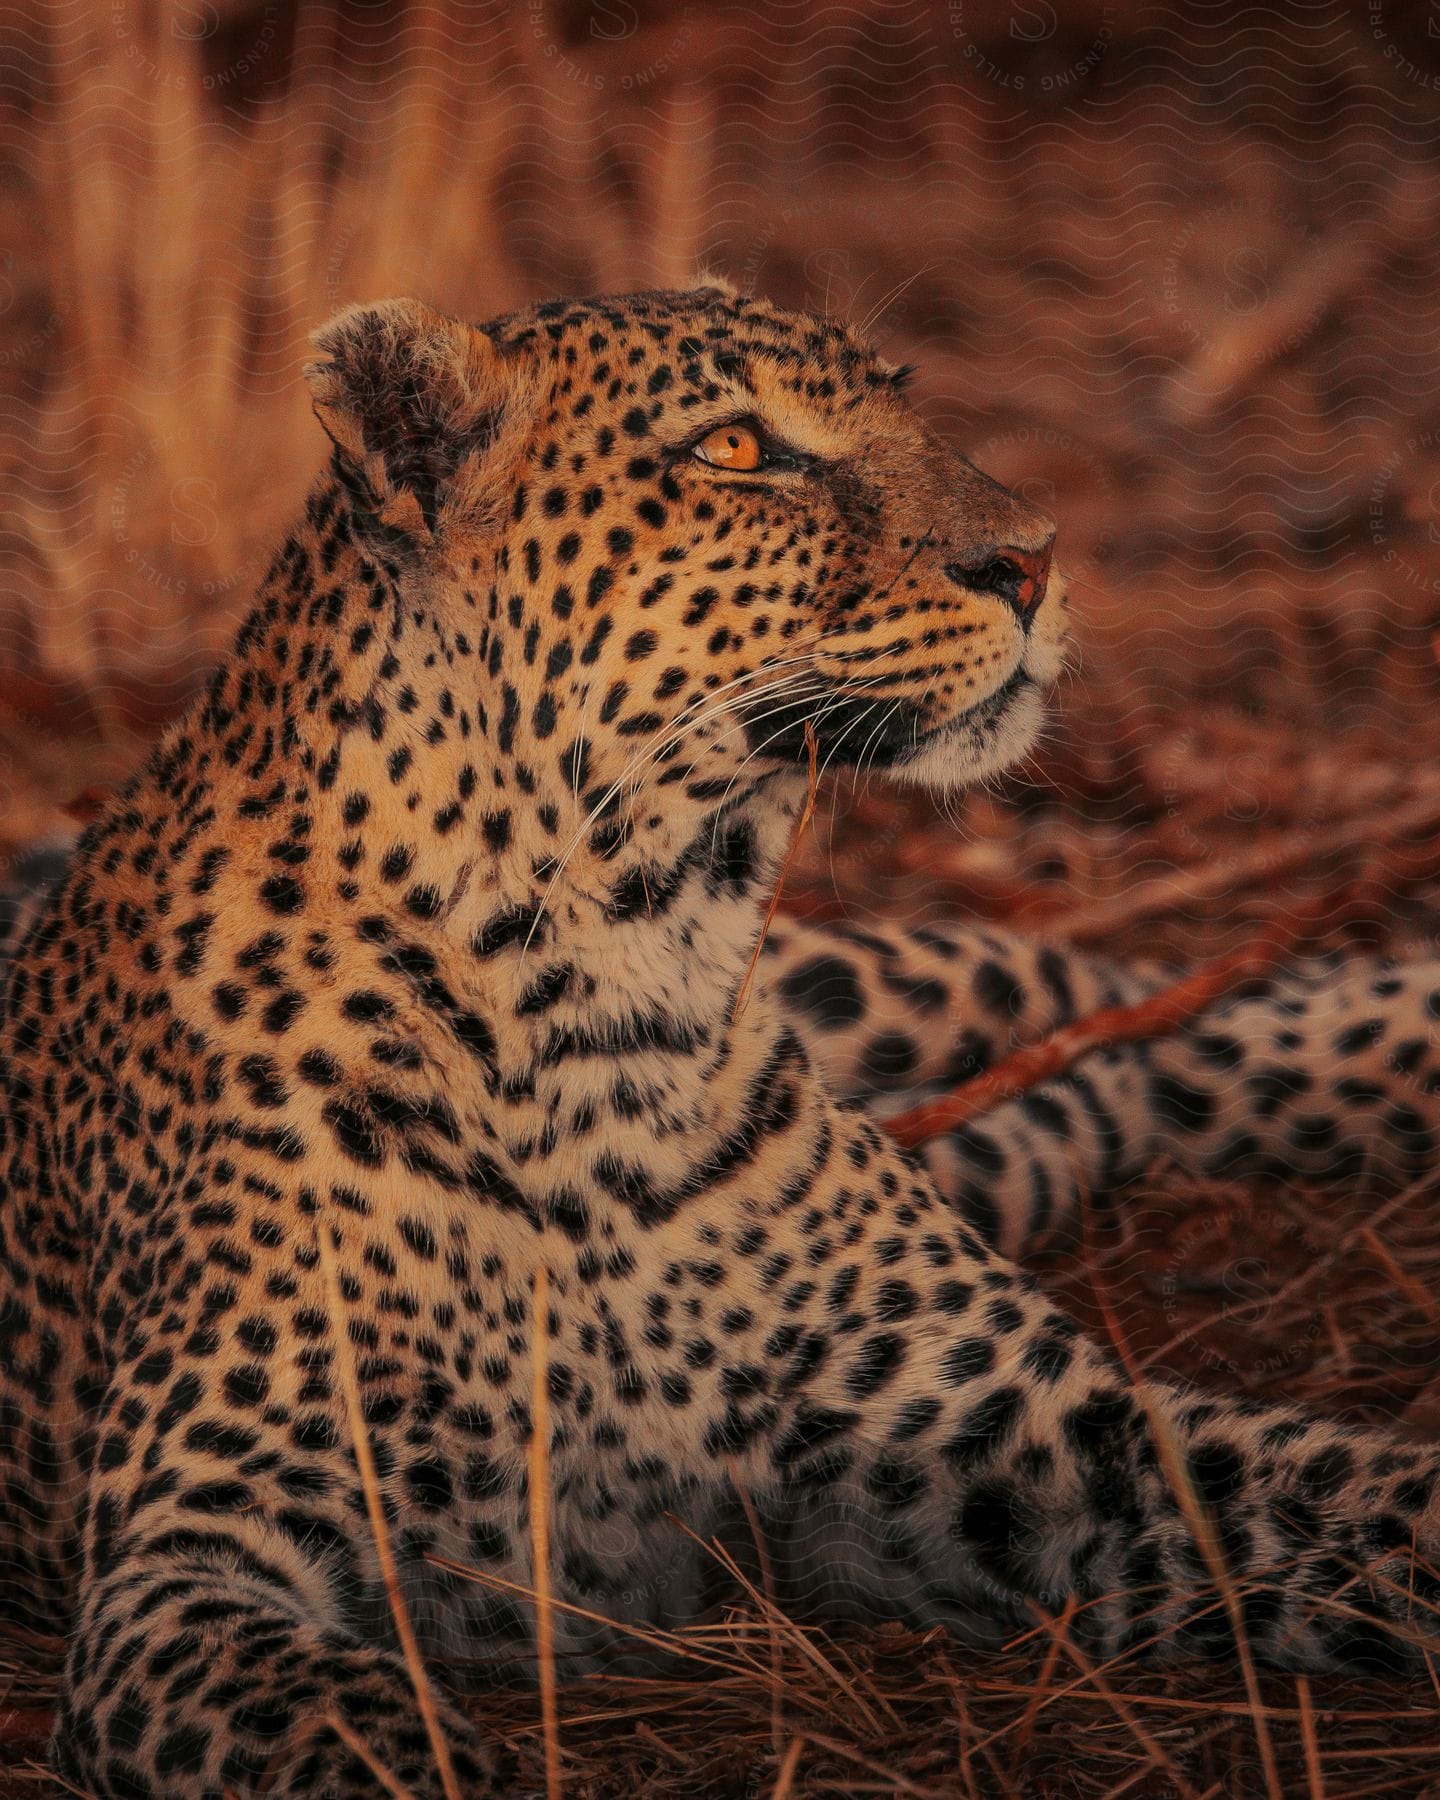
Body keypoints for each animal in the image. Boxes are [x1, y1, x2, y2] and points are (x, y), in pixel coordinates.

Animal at [2, 284, 1440, 1800]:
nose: (1034, 560)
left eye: (900, 401)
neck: (604, 991)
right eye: (738, 449)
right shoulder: (188, 1565)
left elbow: (1355, 1493)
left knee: (1122, 995)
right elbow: (352, 1732)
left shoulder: (1018, 1423)